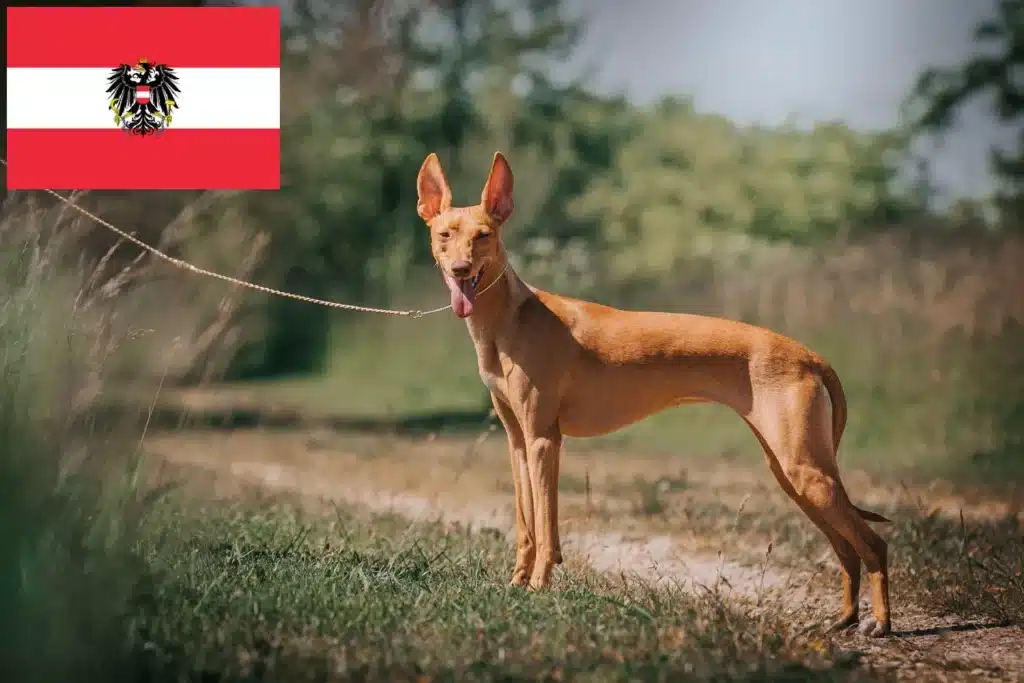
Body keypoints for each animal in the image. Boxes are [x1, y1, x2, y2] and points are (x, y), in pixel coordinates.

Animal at [411, 149, 892, 634]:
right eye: (444, 235)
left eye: (484, 236)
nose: (461, 270)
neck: (511, 318)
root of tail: (809, 355)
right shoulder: (517, 441)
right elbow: (527, 526)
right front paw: (516, 584)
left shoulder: (544, 440)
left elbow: (547, 528)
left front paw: (539, 587)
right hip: (792, 473)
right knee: (846, 547)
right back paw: (844, 618)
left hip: (806, 471)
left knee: (873, 543)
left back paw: (880, 623)